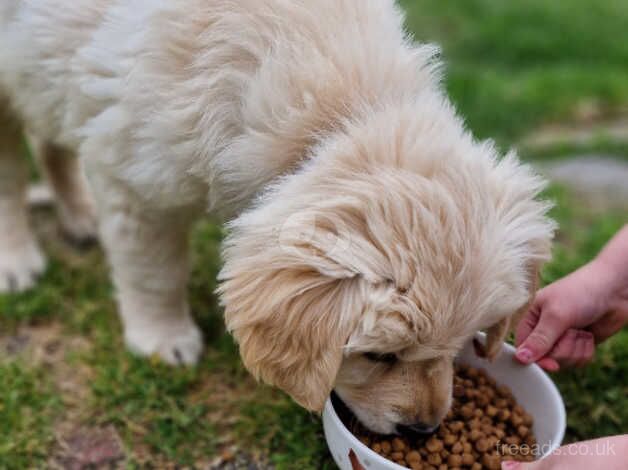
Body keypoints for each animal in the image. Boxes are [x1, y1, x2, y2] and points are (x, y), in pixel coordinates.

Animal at [0, 0, 556, 434]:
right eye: (379, 356)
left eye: (462, 343)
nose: (423, 430)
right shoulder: (135, 177)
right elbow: (154, 274)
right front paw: (163, 339)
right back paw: (17, 261)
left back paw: (78, 218)